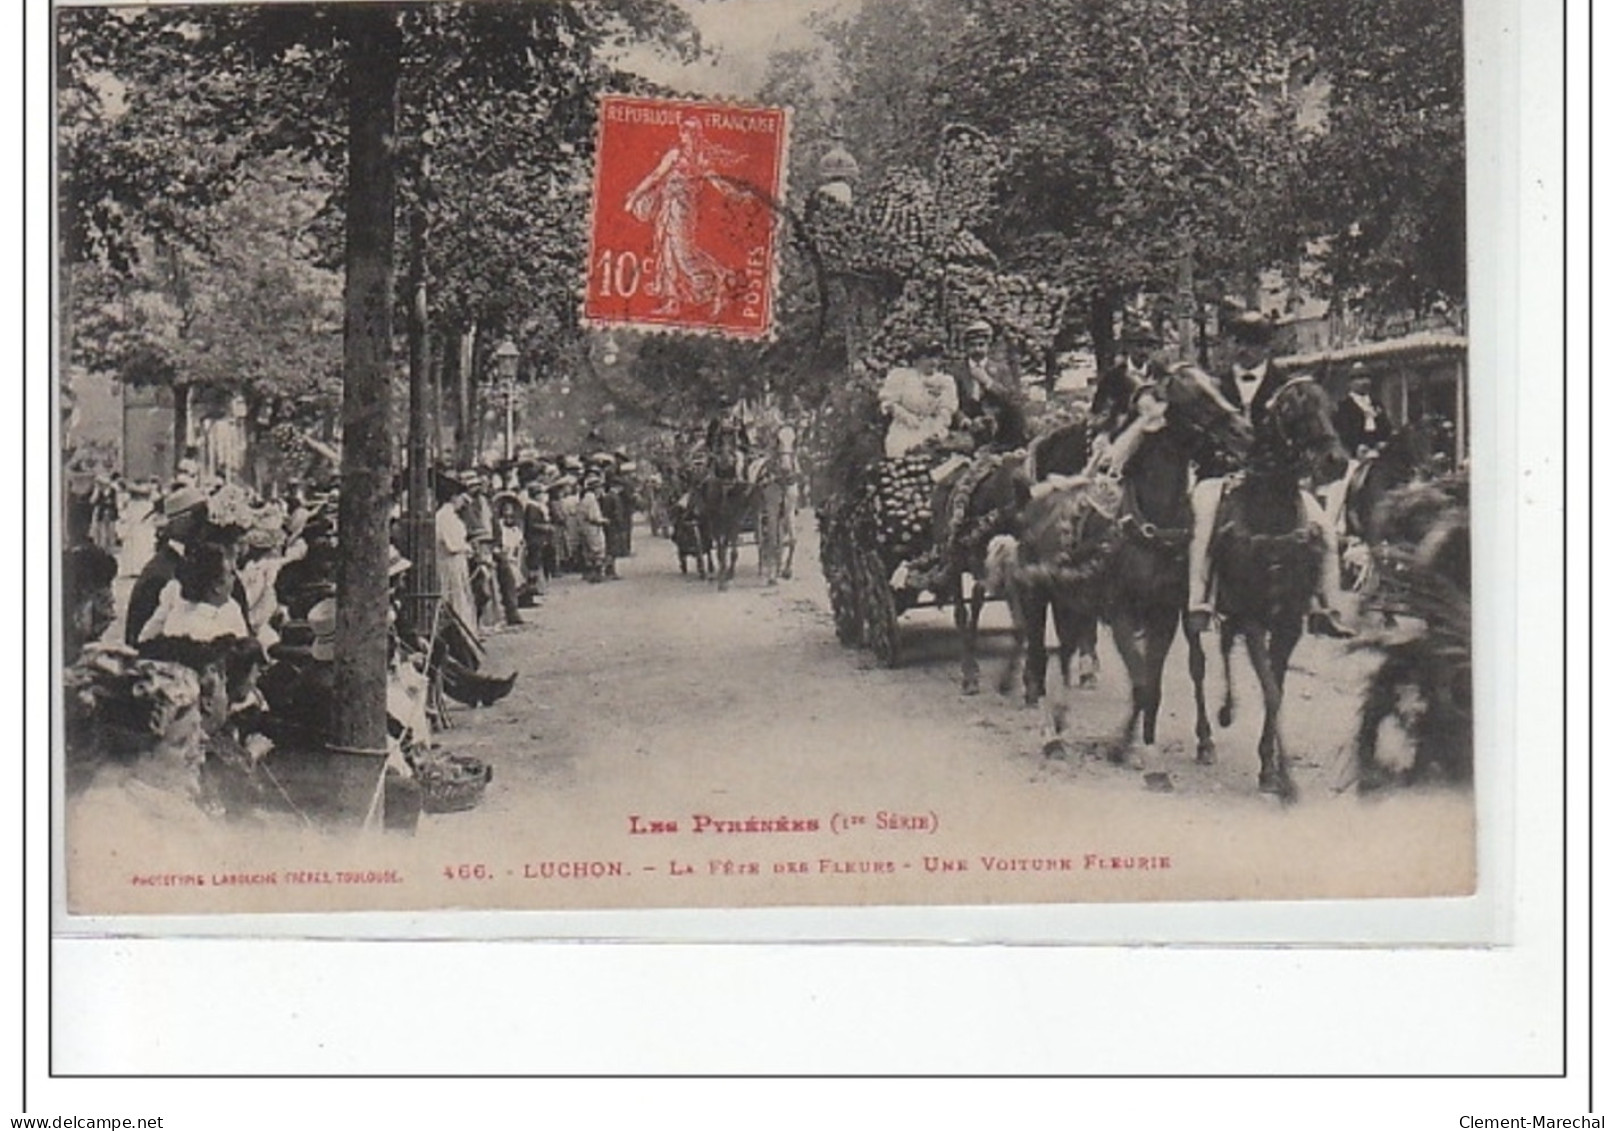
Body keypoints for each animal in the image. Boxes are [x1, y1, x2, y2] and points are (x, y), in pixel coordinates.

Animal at [1007, 366, 1246, 765]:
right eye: (1191, 398)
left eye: (1216, 386)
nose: (1244, 431)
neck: (1150, 526)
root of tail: (1036, 497)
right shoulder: (1119, 612)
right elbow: (1141, 680)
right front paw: (1124, 744)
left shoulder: (1164, 614)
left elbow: (1153, 683)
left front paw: (1136, 741)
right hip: (1036, 598)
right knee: (1040, 659)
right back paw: (1050, 734)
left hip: (1072, 603)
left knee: (1066, 654)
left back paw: (1062, 719)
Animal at [1201, 374, 1350, 798]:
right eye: (1288, 410)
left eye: (1331, 407)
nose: (1335, 460)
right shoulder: (1253, 619)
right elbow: (1269, 687)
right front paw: (1286, 779)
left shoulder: (1288, 624)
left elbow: (1278, 690)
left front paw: (1270, 767)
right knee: (1201, 662)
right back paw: (1211, 731)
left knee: (1224, 646)